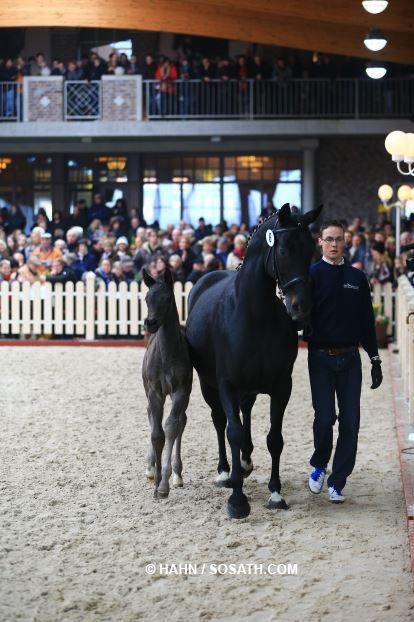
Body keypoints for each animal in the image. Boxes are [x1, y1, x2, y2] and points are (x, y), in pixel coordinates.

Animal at [185, 203, 322, 518]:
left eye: (311, 249)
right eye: (283, 249)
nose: (302, 308)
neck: (253, 314)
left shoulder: (282, 387)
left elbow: (274, 438)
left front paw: (275, 493)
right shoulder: (226, 385)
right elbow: (232, 432)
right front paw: (237, 500)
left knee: (245, 411)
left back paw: (245, 462)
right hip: (208, 385)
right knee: (220, 421)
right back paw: (226, 472)